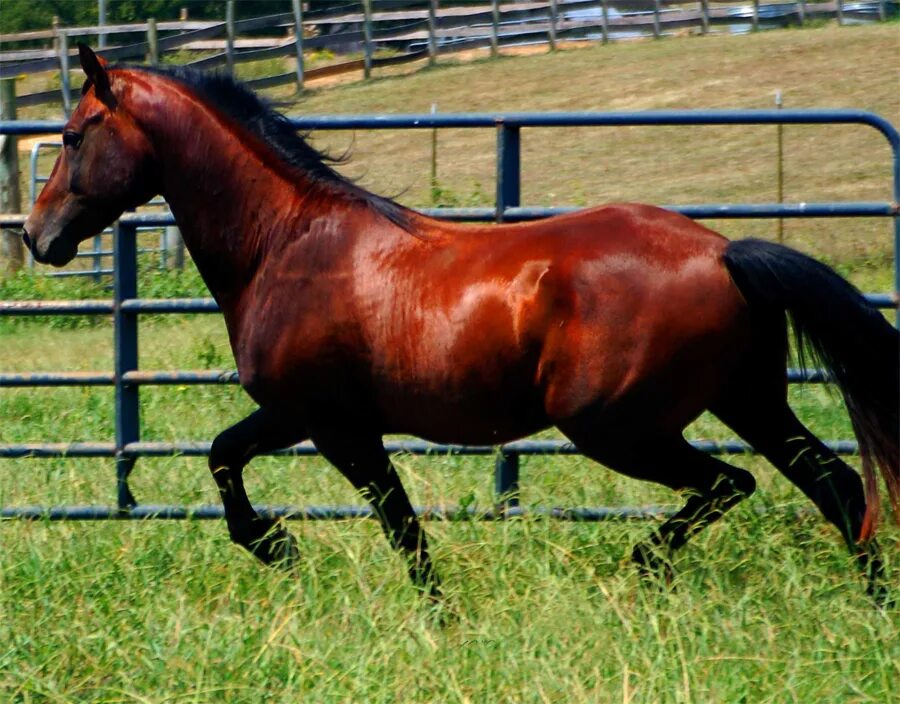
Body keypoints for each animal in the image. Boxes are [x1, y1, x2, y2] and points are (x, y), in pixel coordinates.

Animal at [22, 46, 900, 604]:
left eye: (71, 135)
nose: (37, 237)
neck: (289, 243)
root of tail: (724, 251)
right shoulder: (312, 419)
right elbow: (273, 472)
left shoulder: (326, 421)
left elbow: (379, 517)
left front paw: (283, 548)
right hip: (749, 402)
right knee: (836, 483)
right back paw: (872, 604)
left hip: (616, 425)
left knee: (731, 483)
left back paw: (645, 568)